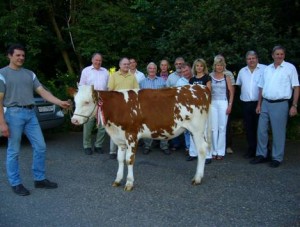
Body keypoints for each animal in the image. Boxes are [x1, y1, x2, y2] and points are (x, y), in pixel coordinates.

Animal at [70, 84, 211, 191]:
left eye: (87, 102)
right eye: (75, 102)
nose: (74, 120)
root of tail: (200, 87)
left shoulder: (132, 136)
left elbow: (129, 160)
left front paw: (129, 183)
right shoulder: (120, 139)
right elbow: (120, 160)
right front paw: (118, 180)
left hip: (197, 129)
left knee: (202, 150)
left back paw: (197, 178)